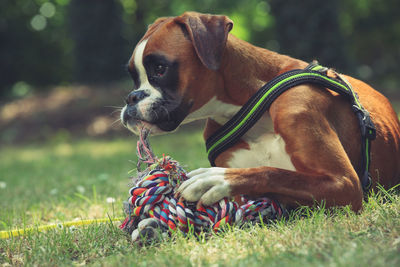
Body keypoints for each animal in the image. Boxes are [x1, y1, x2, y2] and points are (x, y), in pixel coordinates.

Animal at [121, 11, 400, 214]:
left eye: (160, 69)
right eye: (133, 77)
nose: (131, 97)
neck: (253, 105)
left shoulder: (345, 183)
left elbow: (274, 173)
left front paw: (216, 179)